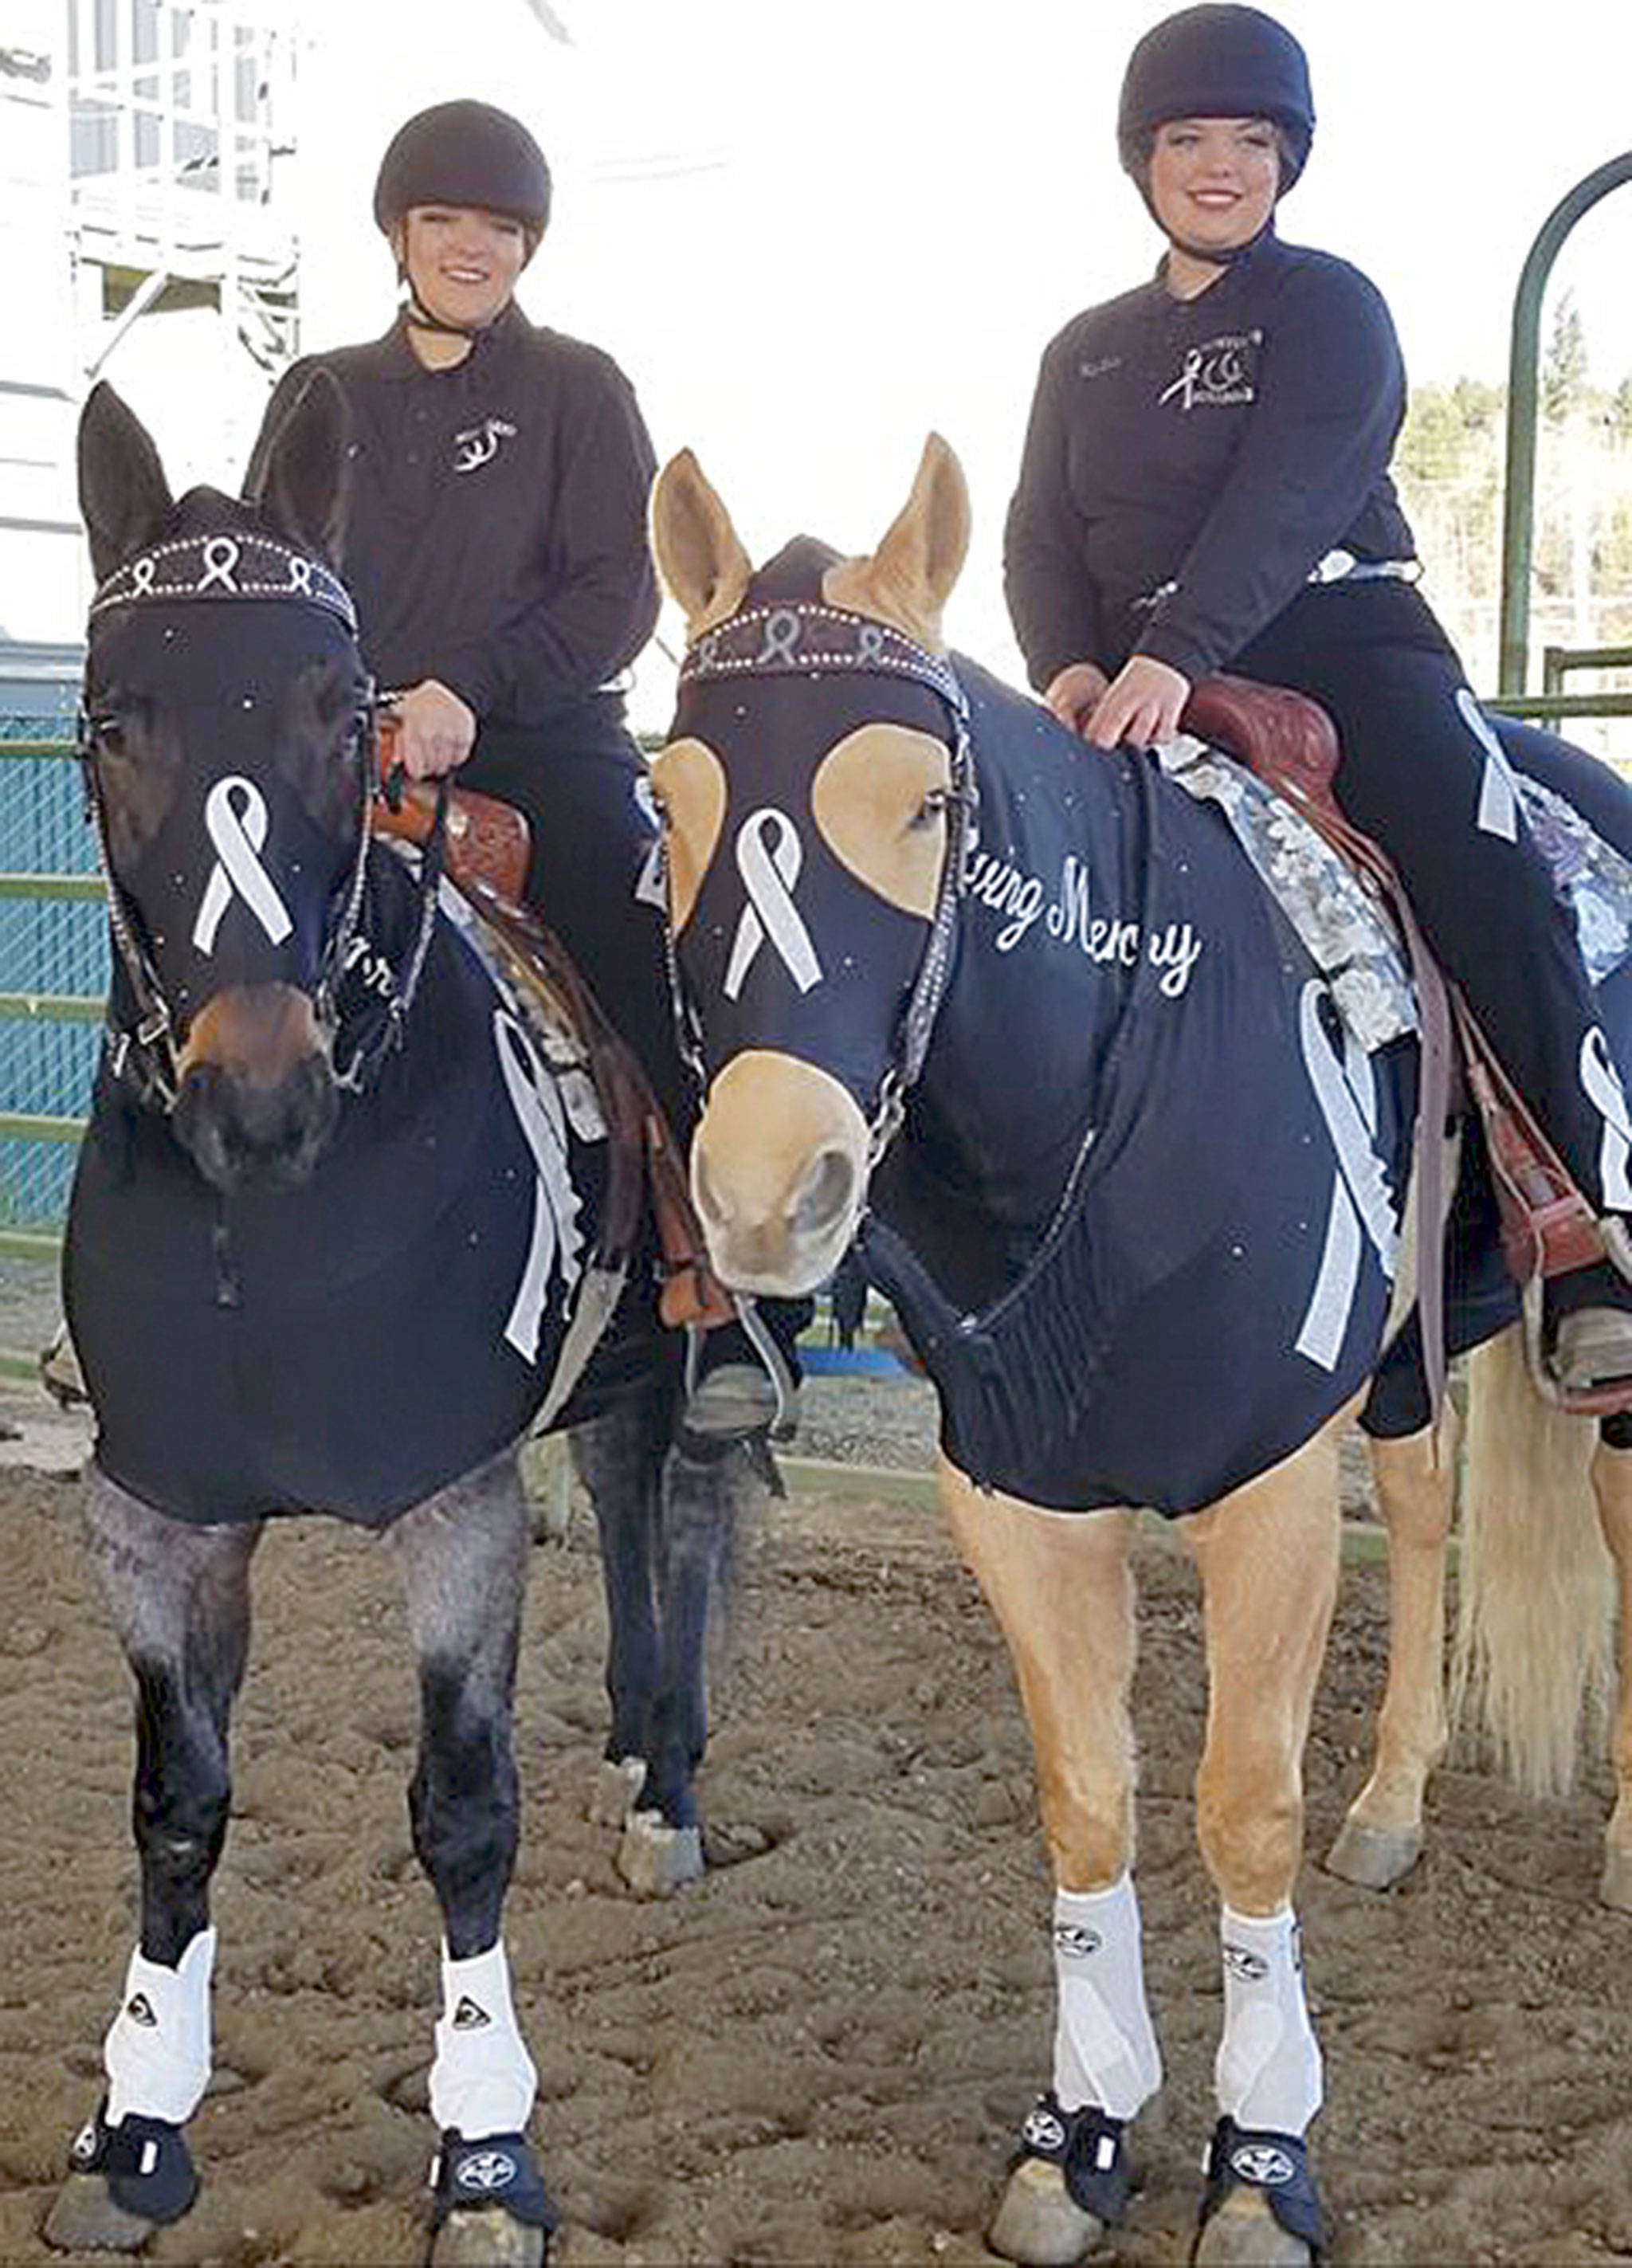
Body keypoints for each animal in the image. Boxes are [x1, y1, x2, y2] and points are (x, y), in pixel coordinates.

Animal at [43, 381, 739, 2258]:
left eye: (340, 714)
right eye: (112, 720)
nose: (258, 1094)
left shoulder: (456, 1509)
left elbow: (462, 1812)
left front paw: (487, 2157)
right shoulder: (161, 1518)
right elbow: (177, 1804)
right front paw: (137, 2122)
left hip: (691, 1361)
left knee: (687, 1520)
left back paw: (671, 1789)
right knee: (629, 1503)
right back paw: (634, 1755)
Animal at [643, 433, 1632, 2258]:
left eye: (930, 807)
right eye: (663, 806)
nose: (763, 1191)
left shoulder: (1266, 1485)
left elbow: (1239, 1812)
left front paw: (1261, 2159)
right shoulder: (1018, 1495)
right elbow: (1085, 1796)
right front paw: (1083, 2130)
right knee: (1430, 1511)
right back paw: (1394, 1807)